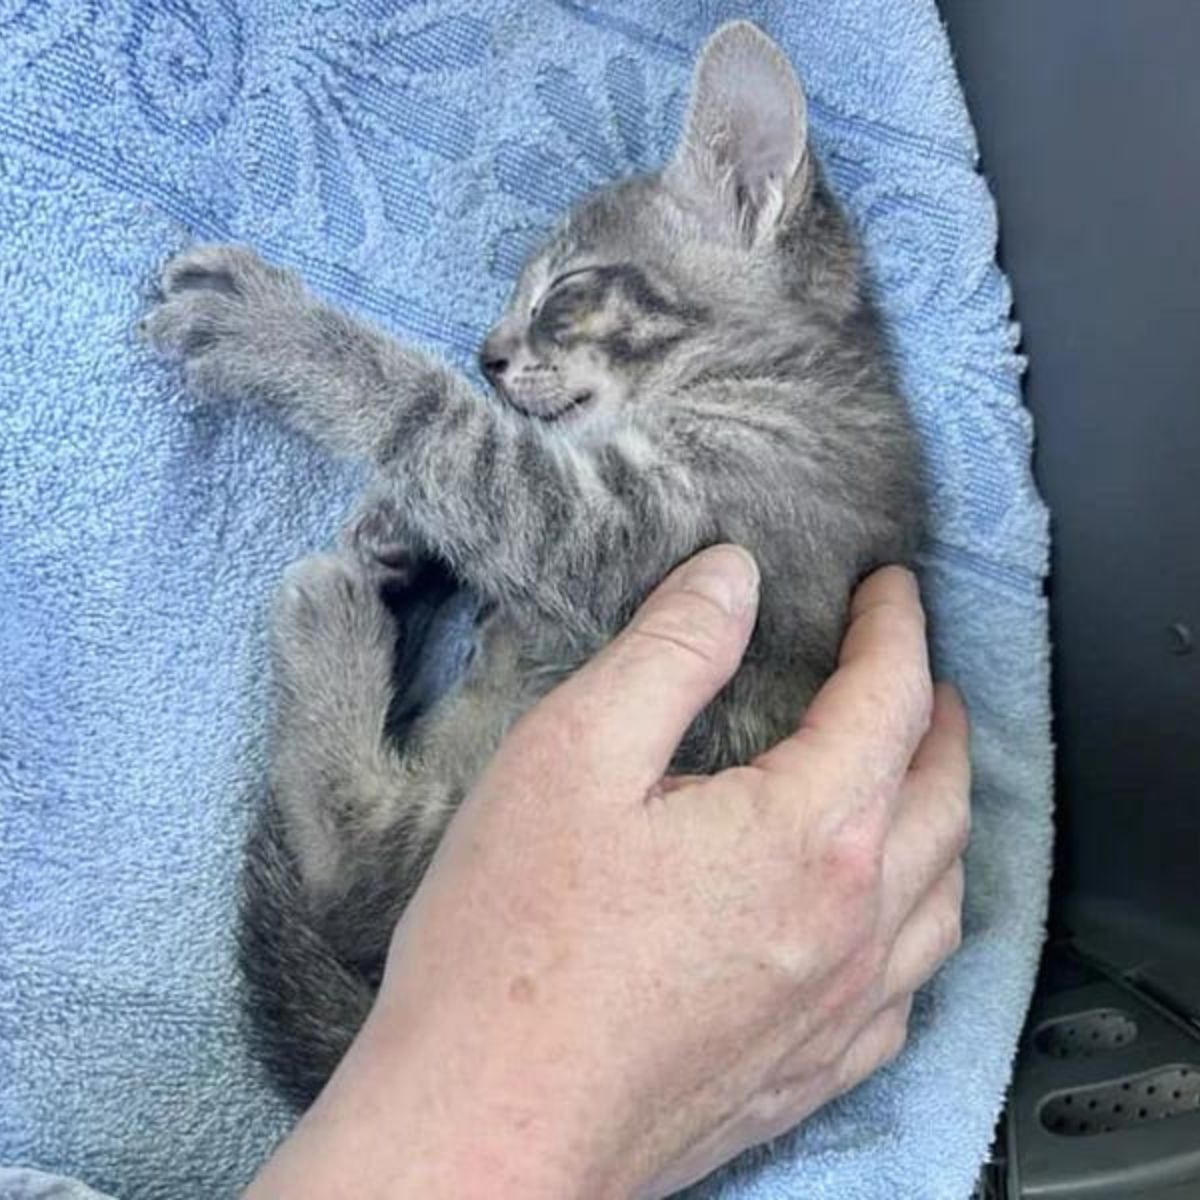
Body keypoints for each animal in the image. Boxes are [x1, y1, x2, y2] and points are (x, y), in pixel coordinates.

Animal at [142, 21, 926, 1104]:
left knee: (355, 866)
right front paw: (407, 521)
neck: (792, 377)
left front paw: (284, 337)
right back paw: (395, 571)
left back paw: (334, 613)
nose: (485, 353)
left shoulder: (657, 529)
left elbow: (460, 439)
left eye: (564, 292)